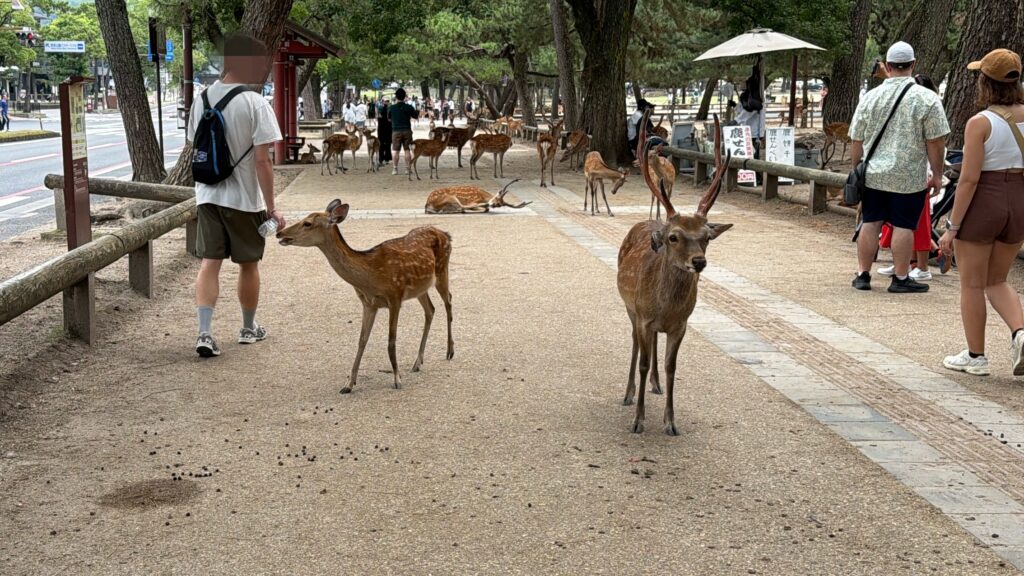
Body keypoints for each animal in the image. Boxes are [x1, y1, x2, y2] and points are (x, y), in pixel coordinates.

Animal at [276, 199, 454, 393]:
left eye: (307, 223)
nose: (279, 233)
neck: (370, 276)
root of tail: (446, 234)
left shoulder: (395, 296)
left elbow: (391, 342)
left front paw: (397, 379)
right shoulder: (369, 303)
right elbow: (362, 340)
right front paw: (348, 384)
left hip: (442, 270)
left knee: (448, 301)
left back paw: (450, 351)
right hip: (420, 287)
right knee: (430, 309)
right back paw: (417, 362)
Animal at [617, 111, 731, 435]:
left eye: (707, 236)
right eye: (674, 237)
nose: (699, 262)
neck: (666, 308)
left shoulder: (681, 324)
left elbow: (671, 367)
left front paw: (670, 422)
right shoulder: (643, 316)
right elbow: (643, 362)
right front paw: (638, 421)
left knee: (654, 346)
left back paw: (655, 385)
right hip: (630, 308)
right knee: (634, 343)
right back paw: (629, 393)